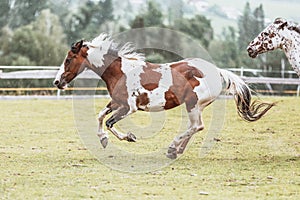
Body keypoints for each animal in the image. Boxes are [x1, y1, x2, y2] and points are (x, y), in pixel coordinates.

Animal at [54, 34, 274, 159]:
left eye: (69, 59)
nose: (57, 82)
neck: (121, 71)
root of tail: (217, 71)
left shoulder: (129, 107)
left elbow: (109, 122)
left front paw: (129, 137)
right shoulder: (117, 102)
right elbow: (100, 116)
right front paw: (103, 139)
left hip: (193, 104)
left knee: (196, 126)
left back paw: (172, 147)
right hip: (196, 106)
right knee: (196, 127)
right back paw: (175, 151)